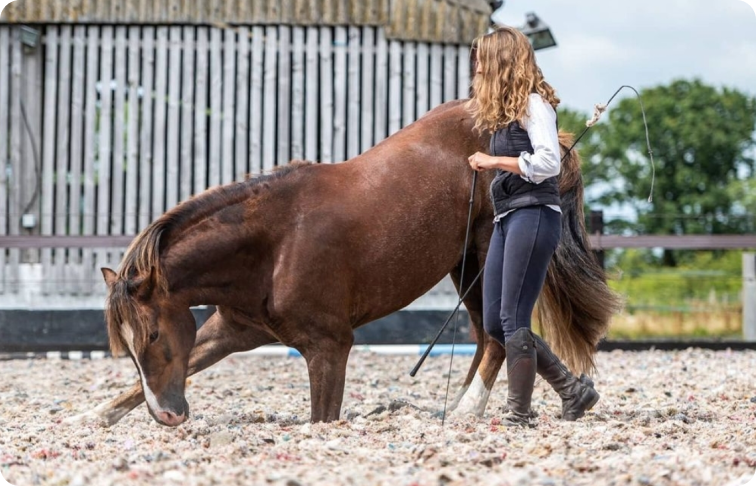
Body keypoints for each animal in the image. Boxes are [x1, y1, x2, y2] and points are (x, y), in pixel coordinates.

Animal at [68, 100, 616, 428]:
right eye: (128, 346)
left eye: (153, 335)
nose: (169, 416)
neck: (274, 244)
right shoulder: (234, 331)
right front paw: (90, 416)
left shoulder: (329, 346)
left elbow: (322, 417)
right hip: (464, 266)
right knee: (492, 335)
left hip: (486, 255)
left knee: (499, 336)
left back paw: (466, 411)